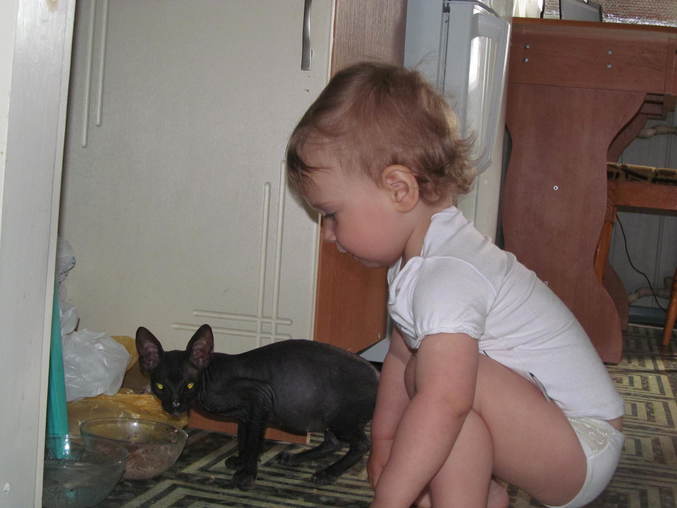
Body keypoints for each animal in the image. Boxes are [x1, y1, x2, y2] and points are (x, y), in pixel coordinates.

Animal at [135, 324, 379, 490]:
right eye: (160, 386)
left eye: (188, 385)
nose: (175, 405)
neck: (208, 381)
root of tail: (377, 374)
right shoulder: (246, 415)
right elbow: (243, 438)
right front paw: (240, 461)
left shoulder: (260, 398)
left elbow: (254, 441)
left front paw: (247, 474)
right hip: (328, 415)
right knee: (333, 442)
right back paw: (295, 458)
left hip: (343, 420)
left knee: (361, 444)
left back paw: (328, 473)